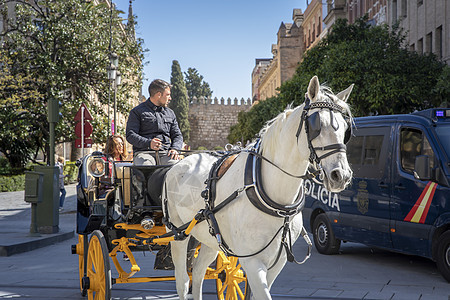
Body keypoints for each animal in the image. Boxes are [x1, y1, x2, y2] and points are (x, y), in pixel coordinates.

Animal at [163, 77, 354, 300]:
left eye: (345, 129)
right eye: (316, 125)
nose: (341, 175)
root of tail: (178, 163)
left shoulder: (277, 262)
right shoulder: (252, 262)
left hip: (210, 238)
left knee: (199, 270)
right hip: (178, 233)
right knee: (183, 280)